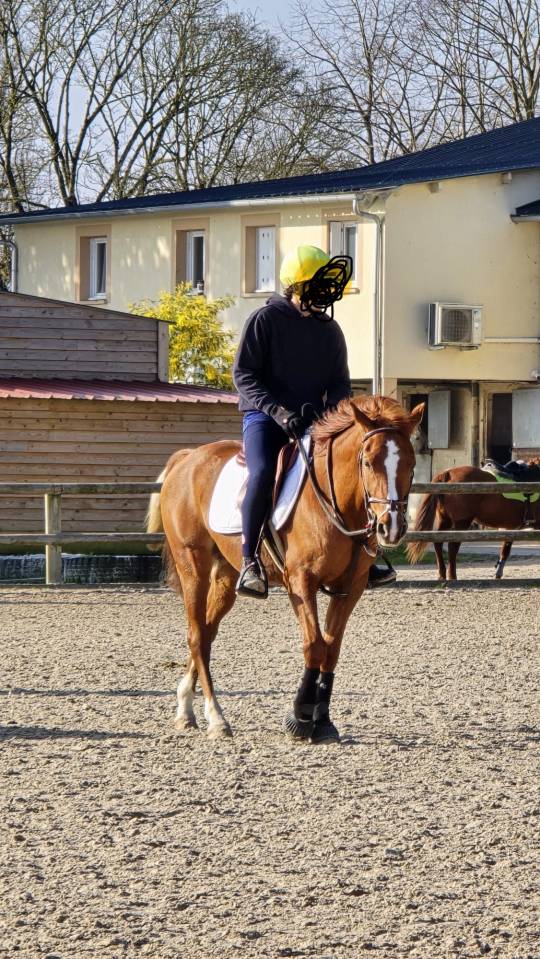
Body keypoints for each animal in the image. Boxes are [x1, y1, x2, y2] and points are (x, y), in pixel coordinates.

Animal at [146, 395, 424, 743]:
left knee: (207, 634)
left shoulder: (350, 587)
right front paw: (300, 719)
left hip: (225, 576)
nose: (391, 527)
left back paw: (186, 708)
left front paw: (323, 721)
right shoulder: (302, 583)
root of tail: (187, 459)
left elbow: (331, 649)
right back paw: (215, 717)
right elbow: (314, 646)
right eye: (368, 462)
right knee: (197, 635)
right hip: (193, 567)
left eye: (411, 465)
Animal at [406, 465, 540, 581]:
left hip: (445, 520)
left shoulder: (510, 528)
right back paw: (452, 576)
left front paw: (498, 573)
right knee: (452, 546)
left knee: (438, 543)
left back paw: (442, 575)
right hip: (462, 522)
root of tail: (448, 473)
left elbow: (505, 551)